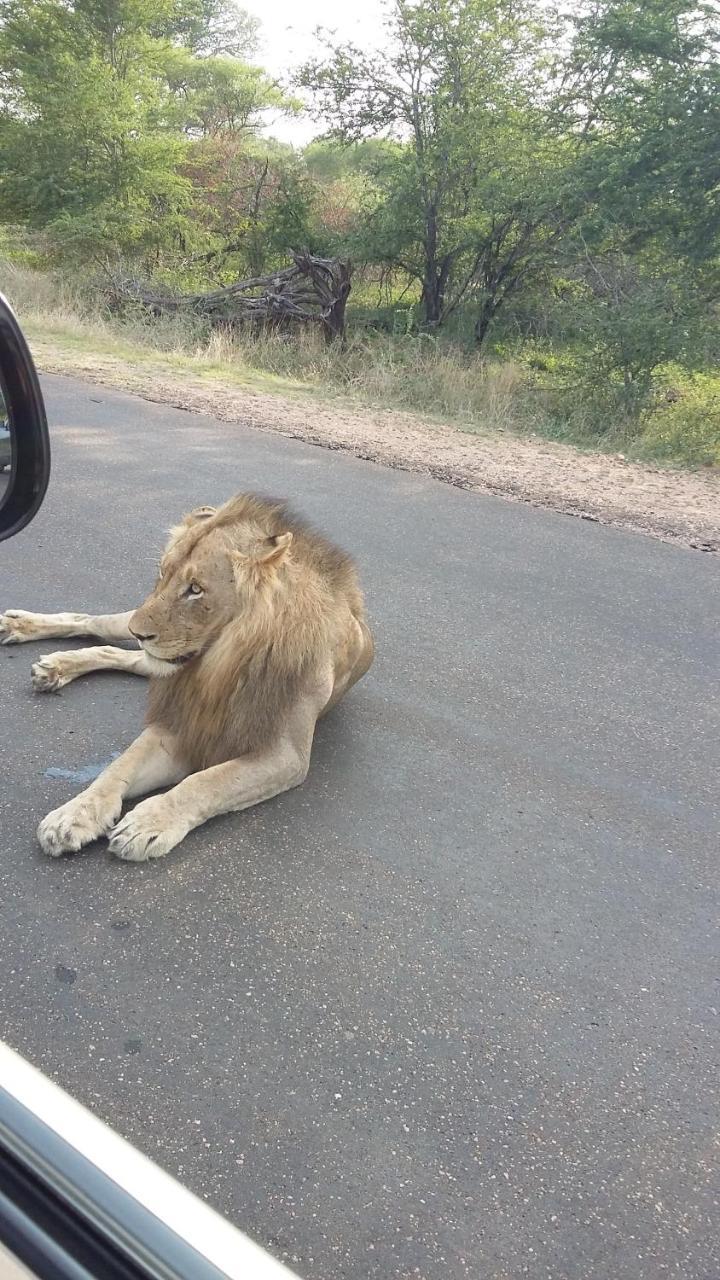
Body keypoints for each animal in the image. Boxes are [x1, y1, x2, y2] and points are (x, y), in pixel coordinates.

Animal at [4, 494, 376, 865]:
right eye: (162, 572)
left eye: (195, 589)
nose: (138, 633)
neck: (219, 667)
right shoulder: (179, 724)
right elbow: (119, 766)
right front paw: (73, 815)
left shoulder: (285, 754)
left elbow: (207, 782)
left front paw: (146, 824)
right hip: (133, 627)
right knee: (93, 623)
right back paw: (21, 629)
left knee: (118, 653)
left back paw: (55, 667)